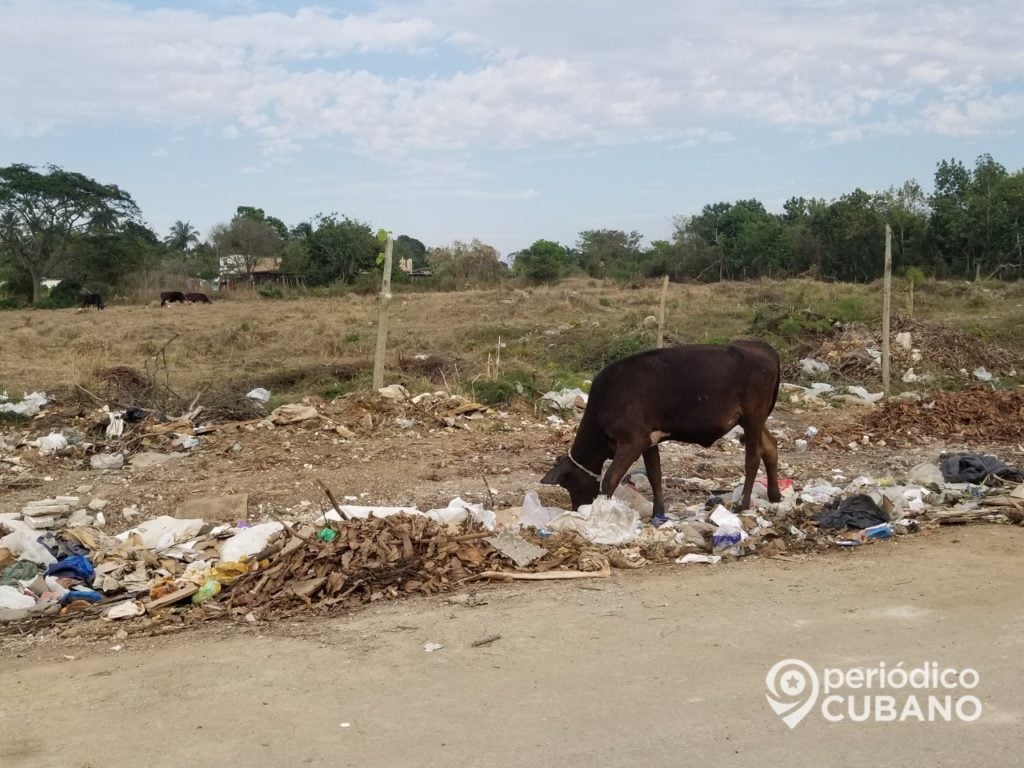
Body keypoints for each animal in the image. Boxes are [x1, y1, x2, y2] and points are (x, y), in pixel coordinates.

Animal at [544, 342, 782, 518]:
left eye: (570, 485)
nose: (578, 509)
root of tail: (761, 347)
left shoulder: (633, 440)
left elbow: (610, 479)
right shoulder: (649, 440)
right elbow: (655, 476)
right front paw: (658, 514)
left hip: (753, 416)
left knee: (752, 459)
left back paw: (744, 504)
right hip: (753, 419)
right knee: (770, 447)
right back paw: (775, 495)